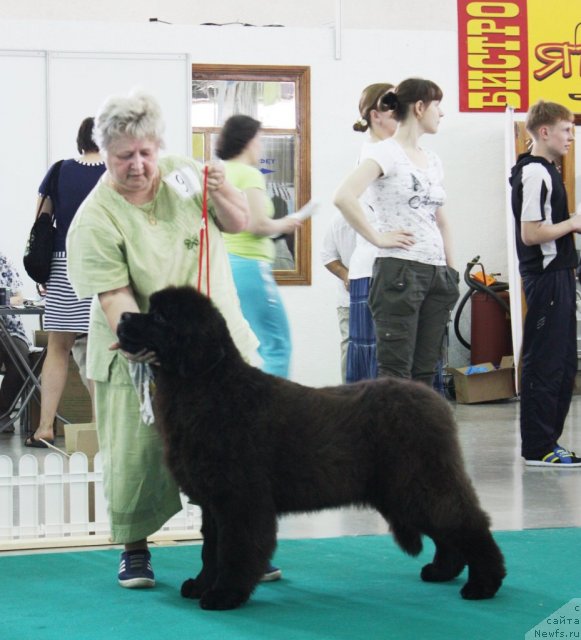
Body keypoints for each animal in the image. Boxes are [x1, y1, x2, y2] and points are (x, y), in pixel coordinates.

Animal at [116, 284, 502, 608]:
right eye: (149, 309)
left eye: (160, 317)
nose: (122, 317)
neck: (208, 386)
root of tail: (434, 398)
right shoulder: (213, 502)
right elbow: (210, 550)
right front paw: (200, 585)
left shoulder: (239, 499)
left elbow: (234, 550)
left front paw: (224, 594)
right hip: (406, 489)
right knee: (448, 530)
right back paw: (442, 571)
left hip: (420, 482)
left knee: (467, 522)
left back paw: (484, 584)